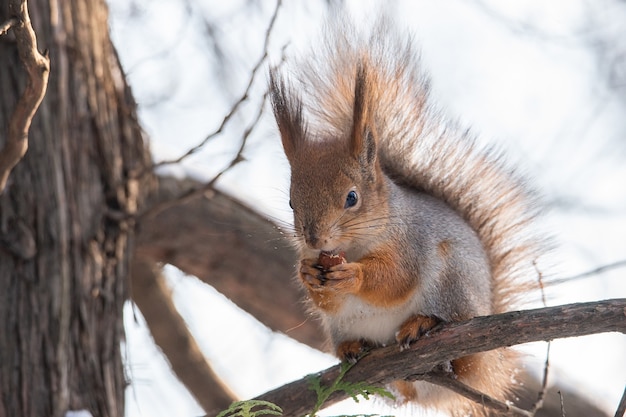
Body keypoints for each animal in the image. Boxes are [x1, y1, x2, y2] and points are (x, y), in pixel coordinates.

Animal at [268, 14, 540, 414]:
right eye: (290, 202)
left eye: (352, 198)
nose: (314, 239)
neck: (353, 246)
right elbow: (324, 297)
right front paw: (307, 273)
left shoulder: (411, 242)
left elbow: (395, 279)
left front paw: (355, 276)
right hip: (344, 327)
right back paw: (355, 348)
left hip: (453, 283)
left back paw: (423, 324)